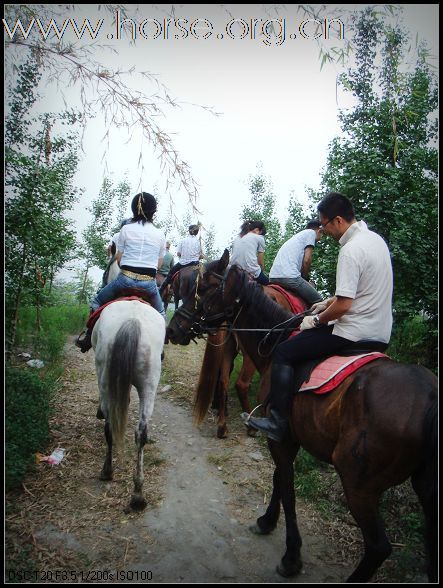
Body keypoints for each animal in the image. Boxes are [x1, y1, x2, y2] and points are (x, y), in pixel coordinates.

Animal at [91, 258, 166, 510]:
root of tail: (133, 320)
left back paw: (107, 471)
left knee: (110, 423)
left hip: (105, 376)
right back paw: (138, 495)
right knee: (141, 432)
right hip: (150, 384)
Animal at [168, 252, 438, 584]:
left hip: (358, 485)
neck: (273, 343)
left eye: (203, 290)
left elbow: (287, 488)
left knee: (378, 547)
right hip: (426, 490)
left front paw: (291, 556)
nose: (173, 330)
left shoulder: (281, 437)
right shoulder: (286, 437)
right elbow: (278, 479)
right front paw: (267, 521)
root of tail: (430, 395)